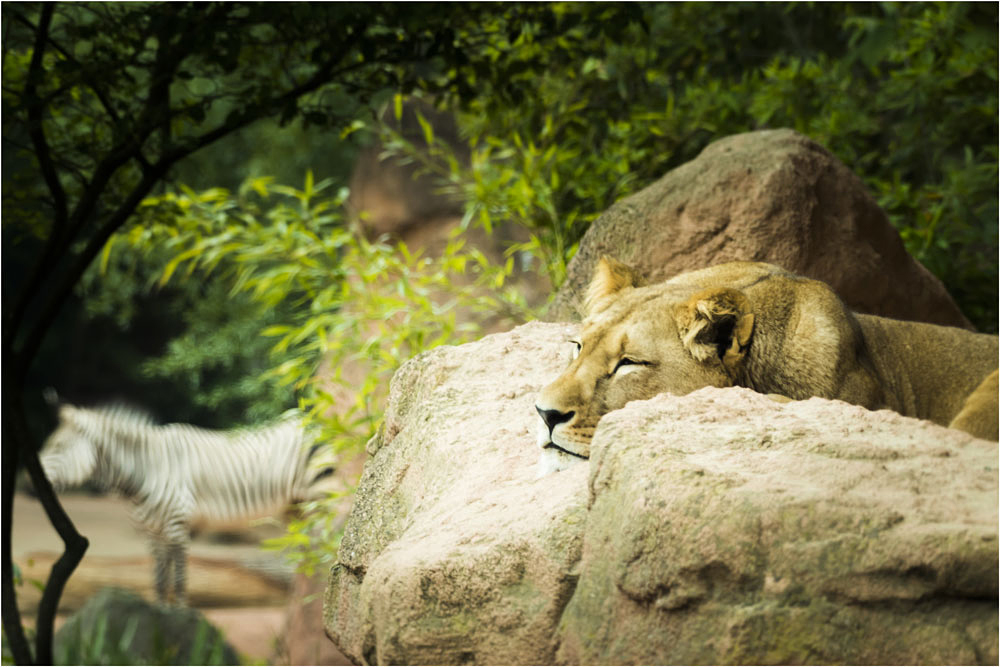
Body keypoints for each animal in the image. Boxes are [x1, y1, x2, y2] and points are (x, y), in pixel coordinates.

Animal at [37, 400, 334, 608]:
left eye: (58, 446)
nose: (31, 486)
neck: (146, 470)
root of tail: (318, 421)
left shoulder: (177, 526)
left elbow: (179, 581)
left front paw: (181, 618)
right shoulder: (153, 533)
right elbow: (159, 580)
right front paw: (160, 617)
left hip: (319, 496)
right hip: (294, 508)